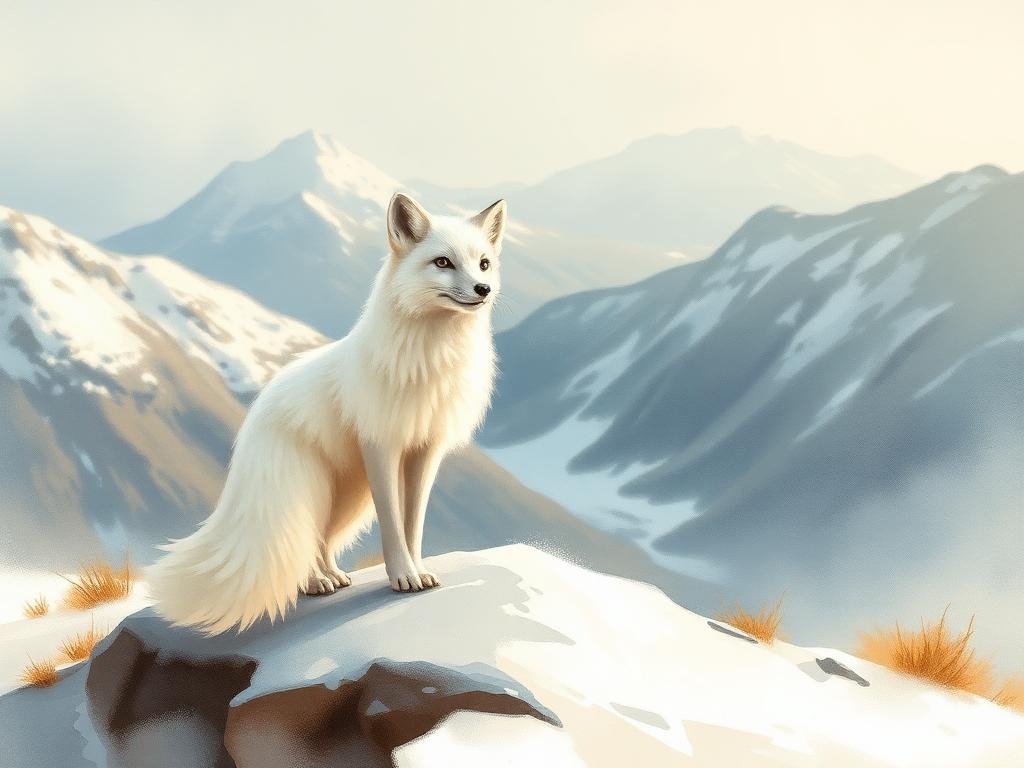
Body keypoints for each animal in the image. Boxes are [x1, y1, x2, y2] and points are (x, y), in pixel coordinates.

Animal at [147, 193, 506, 635]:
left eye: (484, 263)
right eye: (443, 262)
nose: (483, 289)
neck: (431, 358)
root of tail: (256, 412)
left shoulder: (424, 450)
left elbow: (413, 524)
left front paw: (418, 570)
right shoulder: (381, 446)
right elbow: (393, 523)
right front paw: (403, 576)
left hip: (347, 495)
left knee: (321, 537)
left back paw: (330, 575)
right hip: (310, 488)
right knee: (302, 538)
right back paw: (314, 582)